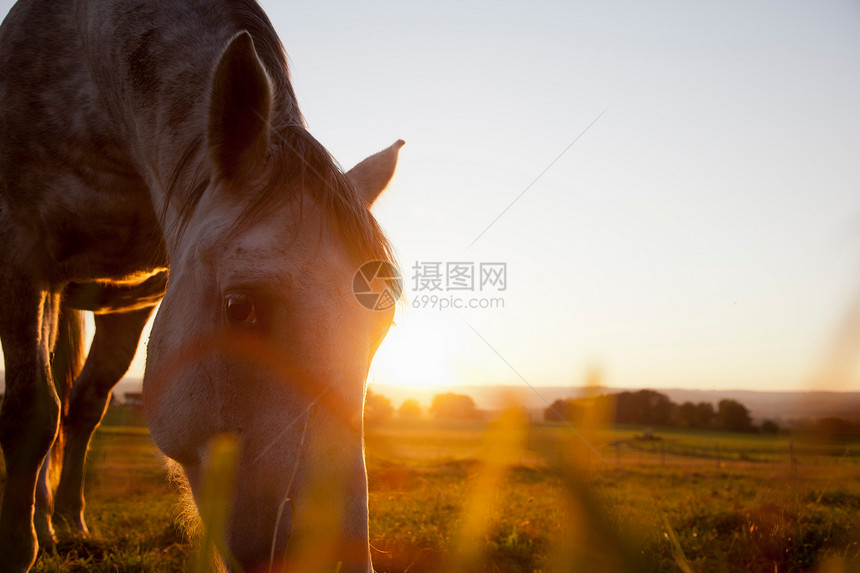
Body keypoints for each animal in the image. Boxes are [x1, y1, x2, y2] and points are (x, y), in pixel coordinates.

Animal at [0, 1, 404, 568]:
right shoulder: (19, 256)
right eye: (239, 307)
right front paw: (16, 549)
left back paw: (64, 520)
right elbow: (30, 413)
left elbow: (78, 407)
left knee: (82, 404)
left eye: (381, 327)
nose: (326, 560)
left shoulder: (139, 300)